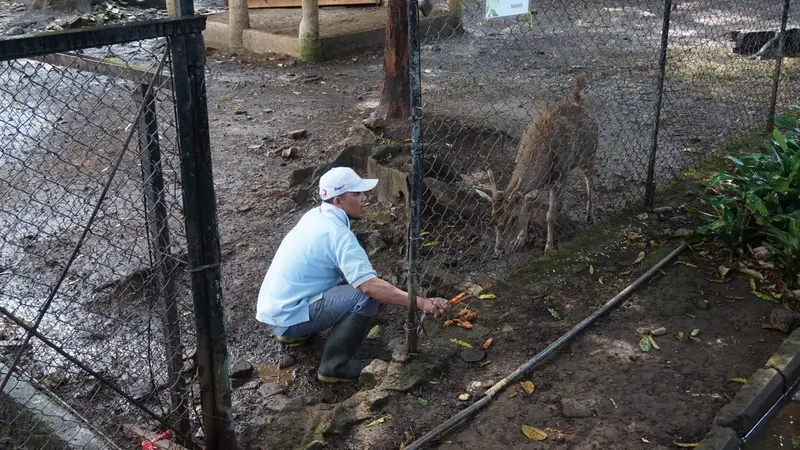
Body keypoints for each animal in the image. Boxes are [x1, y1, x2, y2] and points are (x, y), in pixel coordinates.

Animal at [476, 75, 600, 255]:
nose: (498, 249)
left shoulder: (558, 175)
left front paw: (549, 247)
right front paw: (520, 239)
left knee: (589, 178)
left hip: (590, 151)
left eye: (512, 218)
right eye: (492, 218)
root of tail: (579, 101)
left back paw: (590, 216)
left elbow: (549, 215)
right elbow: (528, 202)